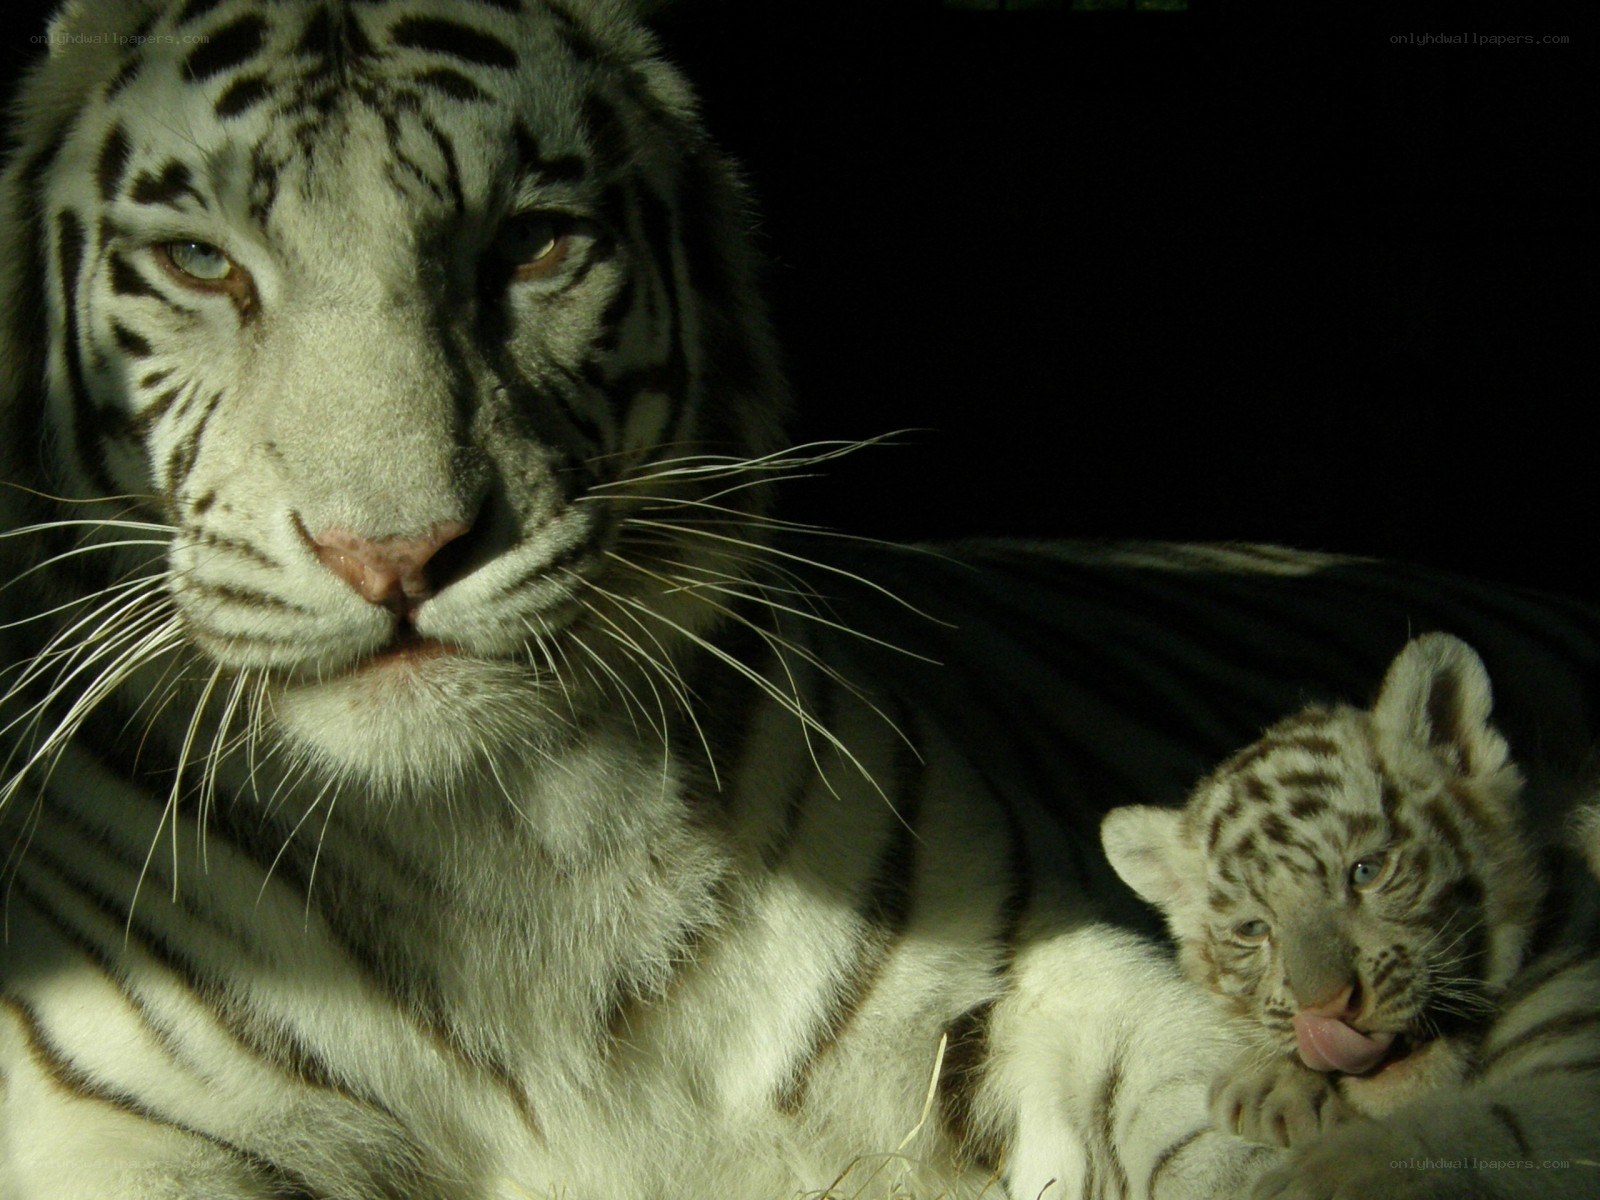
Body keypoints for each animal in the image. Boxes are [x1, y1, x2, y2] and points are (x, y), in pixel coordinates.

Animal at [1102, 632, 1600, 1198]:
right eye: (1254, 929)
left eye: (1365, 871)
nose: (1327, 1010)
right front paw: (1271, 1087)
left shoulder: (1575, 1084)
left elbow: (1493, 1128)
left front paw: (1307, 1175)